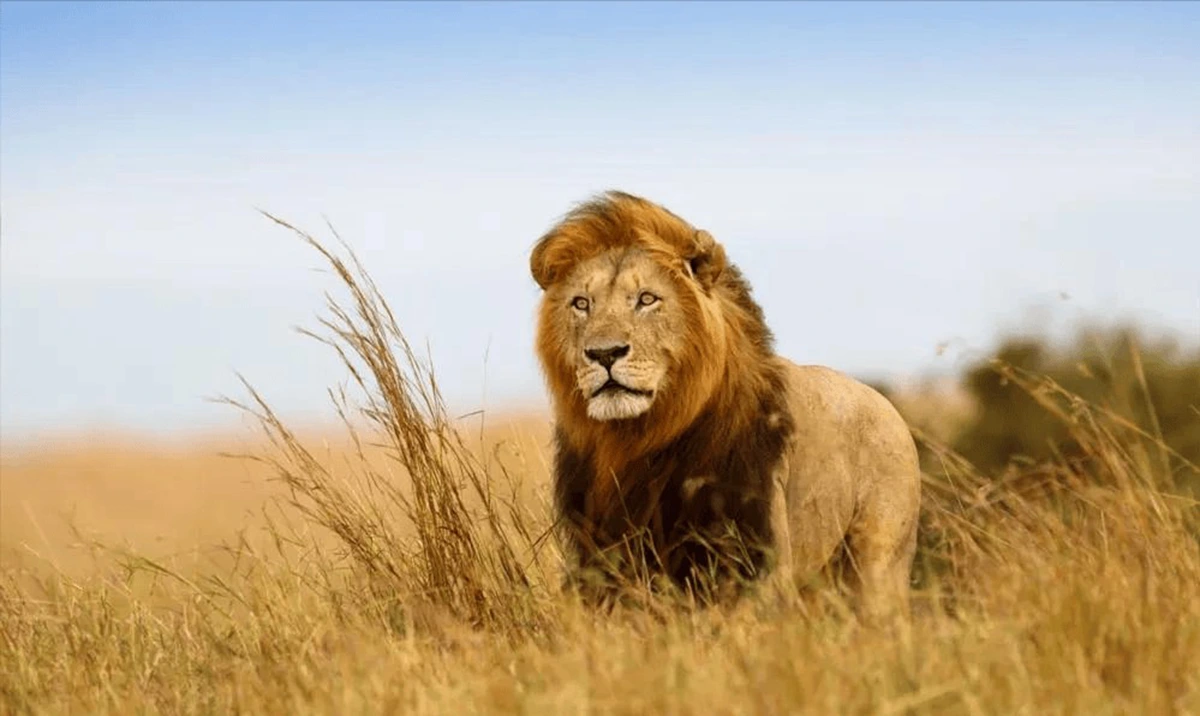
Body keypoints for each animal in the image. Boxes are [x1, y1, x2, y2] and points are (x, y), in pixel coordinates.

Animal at [530, 190, 922, 620]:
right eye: (581, 304)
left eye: (647, 299)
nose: (604, 354)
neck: (637, 440)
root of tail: (886, 405)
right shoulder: (601, 555)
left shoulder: (755, 555)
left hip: (878, 562)